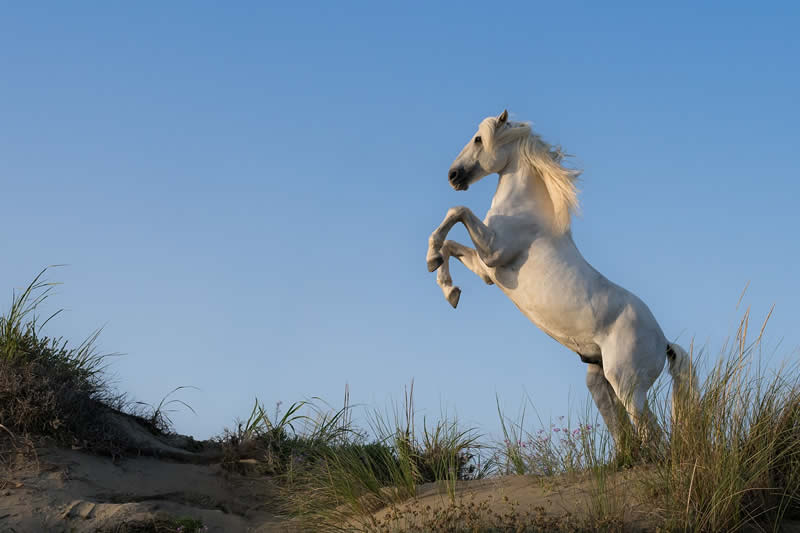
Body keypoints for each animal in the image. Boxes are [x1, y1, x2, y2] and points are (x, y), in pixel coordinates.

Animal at [424, 110, 692, 446]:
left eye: (477, 139)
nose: (453, 176)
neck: (526, 211)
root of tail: (664, 342)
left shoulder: (494, 253)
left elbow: (457, 211)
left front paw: (433, 261)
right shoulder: (487, 270)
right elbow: (450, 245)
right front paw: (448, 287)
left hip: (628, 384)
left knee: (651, 432)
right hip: (599, 380)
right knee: (623, 431)